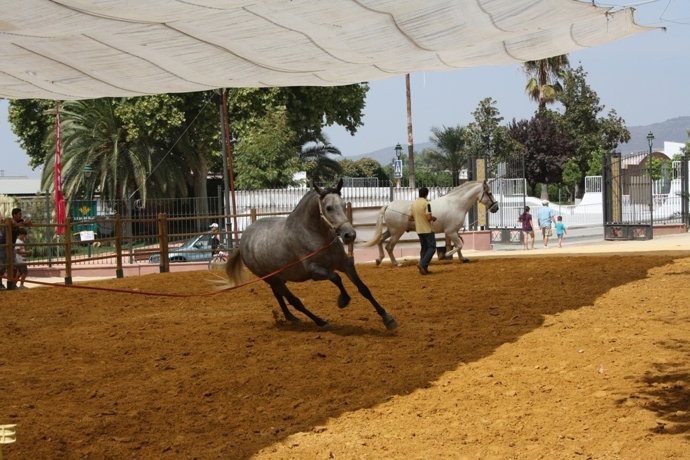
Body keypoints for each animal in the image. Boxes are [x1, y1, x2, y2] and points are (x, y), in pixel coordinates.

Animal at [225, 179, 398, 331]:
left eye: (343, 205)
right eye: (328, 208)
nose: (350, 235)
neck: (315, 235)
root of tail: (243, 241)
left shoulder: (345, 263)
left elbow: (363, 288)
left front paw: (388, 319)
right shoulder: (315, 271)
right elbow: (336, 277)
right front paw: (343, 300)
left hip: (278, 277)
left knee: (279, 295)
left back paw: (291, 317)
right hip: (270, 278)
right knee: (294, 300)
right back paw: (320, 322)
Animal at [361, 180, 499, 266]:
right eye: (490, 193)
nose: (496, 208)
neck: (456, 204)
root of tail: (389, 205)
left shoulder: (454, 232)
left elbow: (459, 245)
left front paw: (463, 259)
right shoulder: (451, 232)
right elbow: (459, 245)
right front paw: (446, 255)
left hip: (391, 231)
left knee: (380, 240)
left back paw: (379, 260)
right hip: (397, 232)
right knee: (389, 246)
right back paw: (396, 263)